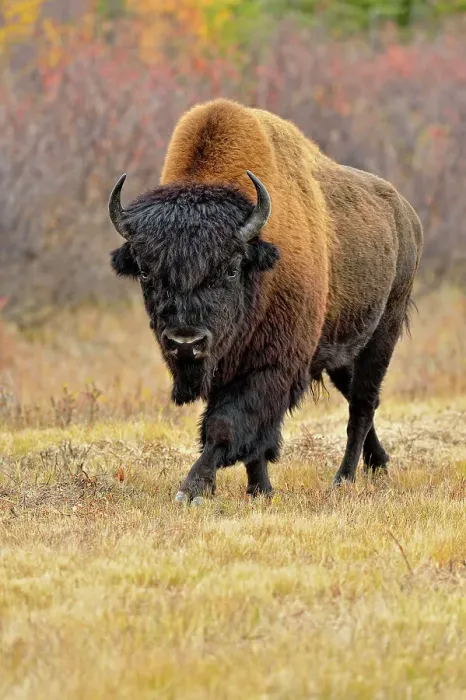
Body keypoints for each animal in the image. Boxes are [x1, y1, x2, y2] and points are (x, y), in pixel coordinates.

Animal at [108, 98, 423, 503]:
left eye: (230, 268)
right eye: (146, 272)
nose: (186, 342)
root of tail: (407, 216)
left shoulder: (271, 366)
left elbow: (227, 426)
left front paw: (193, 489)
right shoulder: (225, 367)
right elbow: (249, 441)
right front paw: (260, 490)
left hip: (383, 333)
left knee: (363, 405)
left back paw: (344, 478)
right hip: (339, 349)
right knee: (358, 397)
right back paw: (378, 464)